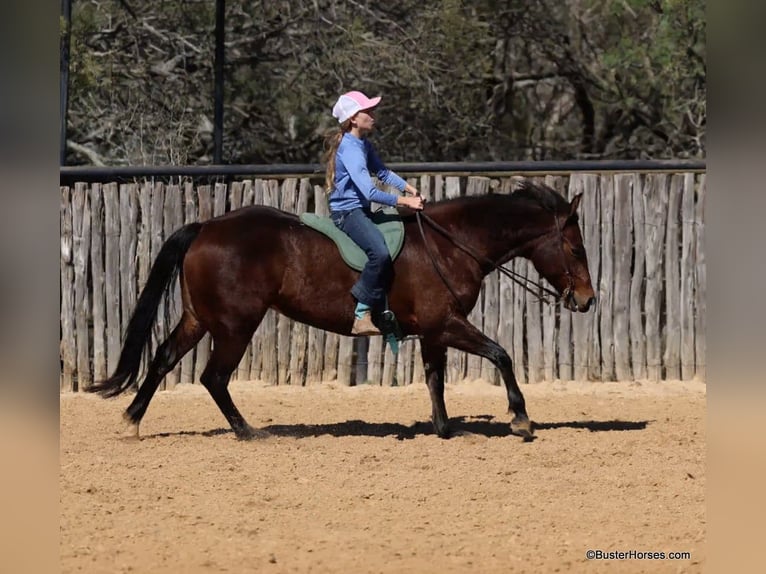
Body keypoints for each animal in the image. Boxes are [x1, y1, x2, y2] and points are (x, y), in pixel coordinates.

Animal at [87, 179, 596, 441]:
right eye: (575, 249)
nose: (587, 300)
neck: (452, 244)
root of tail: (207, 226)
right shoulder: (448, 324)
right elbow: (501, 354)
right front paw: (520, 418)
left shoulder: (435, 331)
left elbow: (436, 379)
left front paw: (445, 428)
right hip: (235, 325)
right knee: (213, 377)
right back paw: (249, 431)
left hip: (198, 319)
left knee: (162, 360)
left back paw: (132, 422)